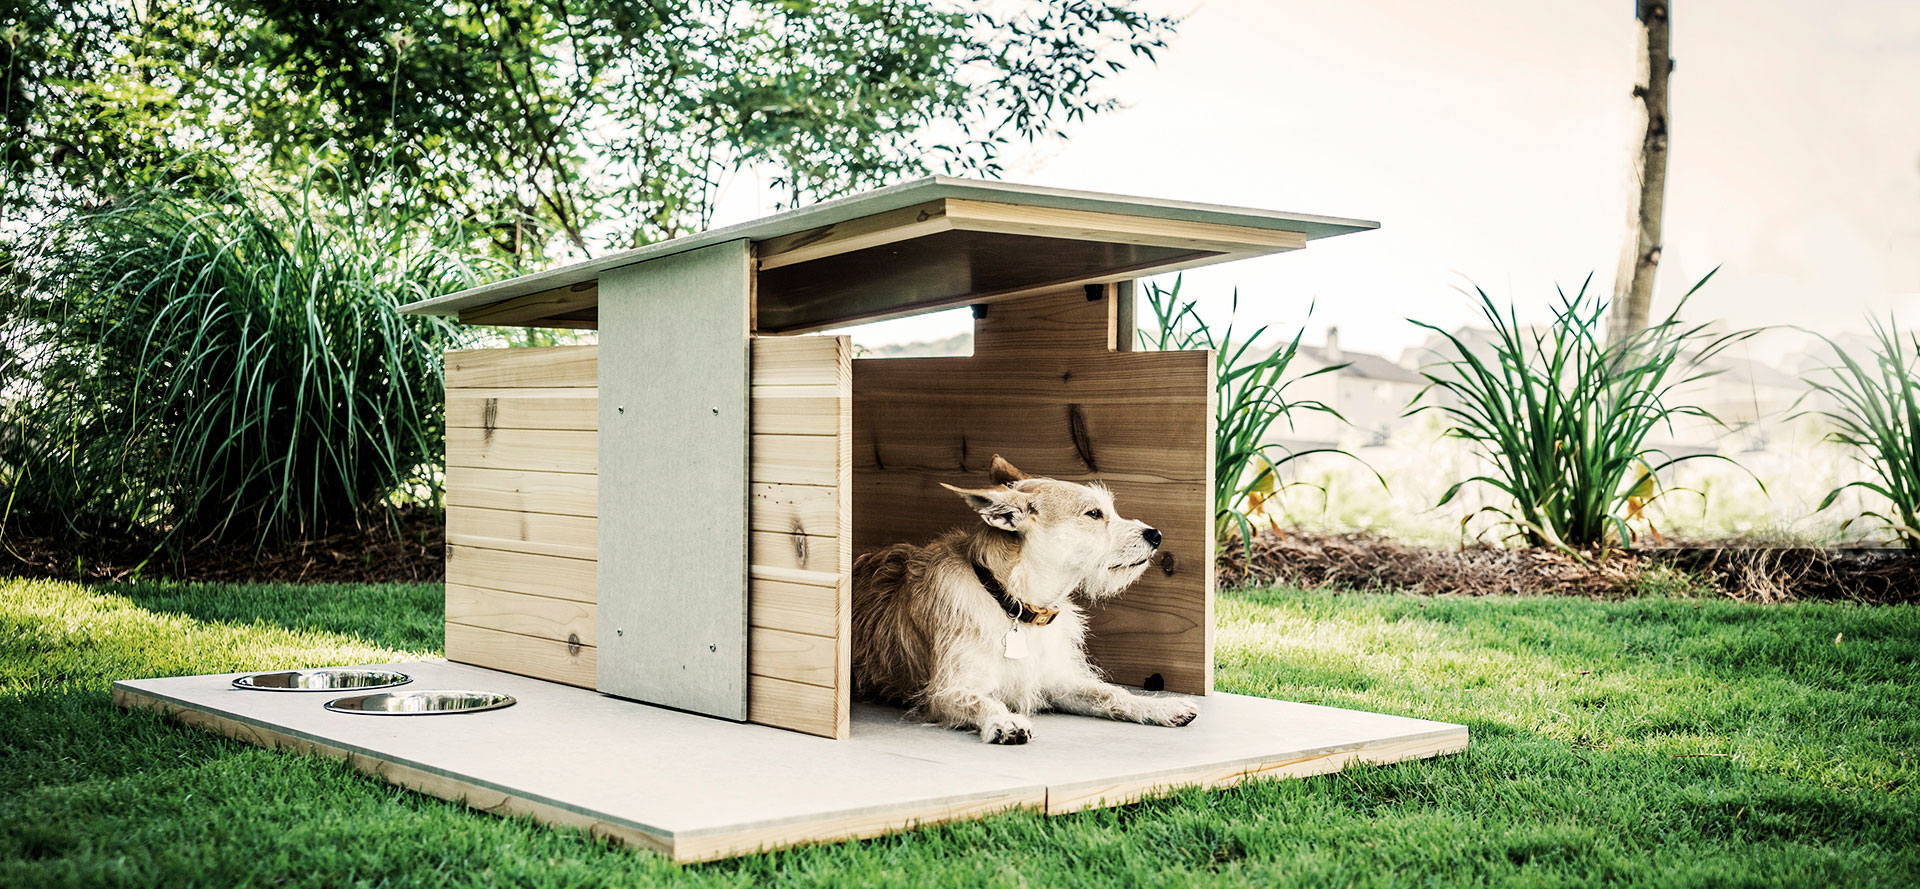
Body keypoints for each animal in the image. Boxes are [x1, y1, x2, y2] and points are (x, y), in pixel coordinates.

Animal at [852, 458, 1190, 744]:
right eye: (1094, 514)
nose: (1156, 535)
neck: (1012, 600)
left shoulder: (1059, 681)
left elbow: (1111, 694)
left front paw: (1159, 707)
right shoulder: (946, 691)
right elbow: (979, 701)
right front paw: (1005, 721)